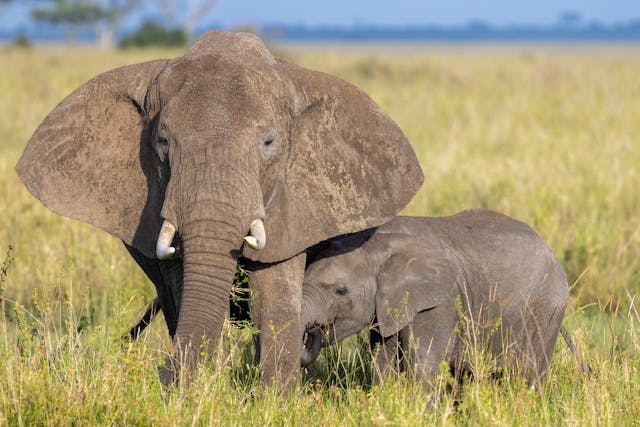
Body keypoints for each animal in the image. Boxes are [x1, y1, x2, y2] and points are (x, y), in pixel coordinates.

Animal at [15, 31, 422, 390]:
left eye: (268, 143)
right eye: (162, 142)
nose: (161, 377)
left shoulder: (293, 205)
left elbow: (274, 294)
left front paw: (272, 403)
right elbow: (184, 288)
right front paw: (201, 394)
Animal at [302, 209, 568, 386]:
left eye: (340, 291)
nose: (312, 332)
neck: (377, 243)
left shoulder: (438, 302)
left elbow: (424, 362)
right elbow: (383, 360)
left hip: (545, 310)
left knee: (529, 373)